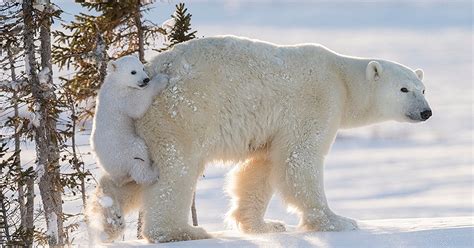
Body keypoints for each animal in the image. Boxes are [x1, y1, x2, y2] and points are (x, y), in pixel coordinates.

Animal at [129, 35, 430, 242]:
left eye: (423, 88)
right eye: (404, 89)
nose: (426, 112)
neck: (342, 79)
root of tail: (153, 68)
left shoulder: (271, 129)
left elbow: (261, 167)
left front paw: (265, 225)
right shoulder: (317, 100)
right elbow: (299, 159)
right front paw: (339, 221)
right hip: (181, 114)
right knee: (176, 171)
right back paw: (181, 231)